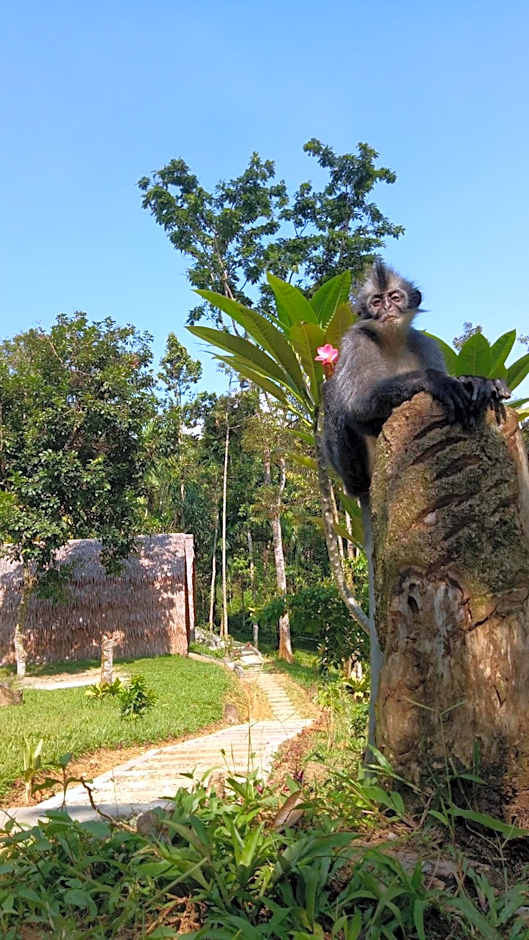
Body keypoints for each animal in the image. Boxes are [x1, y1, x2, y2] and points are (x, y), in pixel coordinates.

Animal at [322, 260, 509, 748]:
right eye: (374, 302)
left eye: (394, 299)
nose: (385, 310)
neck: (390, 340)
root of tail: (363, 487)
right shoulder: (355, 340)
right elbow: (356, 402)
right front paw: (439, 383)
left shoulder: (424, 343)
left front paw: (479, 382)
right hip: (347, 462)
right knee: (338, 402)